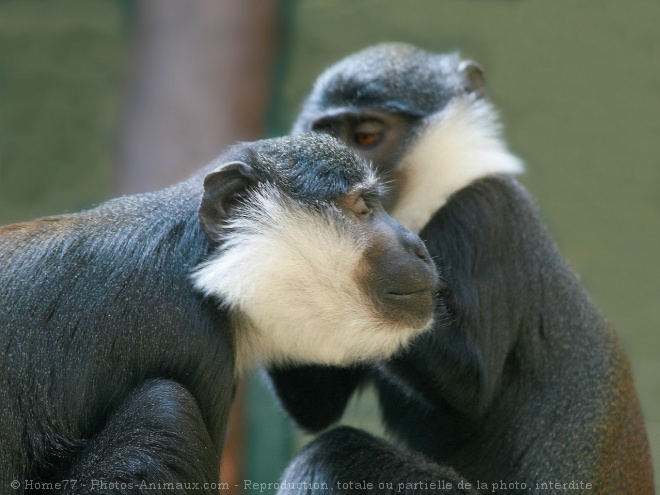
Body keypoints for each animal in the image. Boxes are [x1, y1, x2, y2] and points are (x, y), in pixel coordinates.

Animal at [268, 43, 656, 495]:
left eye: (365, 137)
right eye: (327, 139)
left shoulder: (485, 212)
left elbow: (471, 383)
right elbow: (317, 406)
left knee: (333, 454)